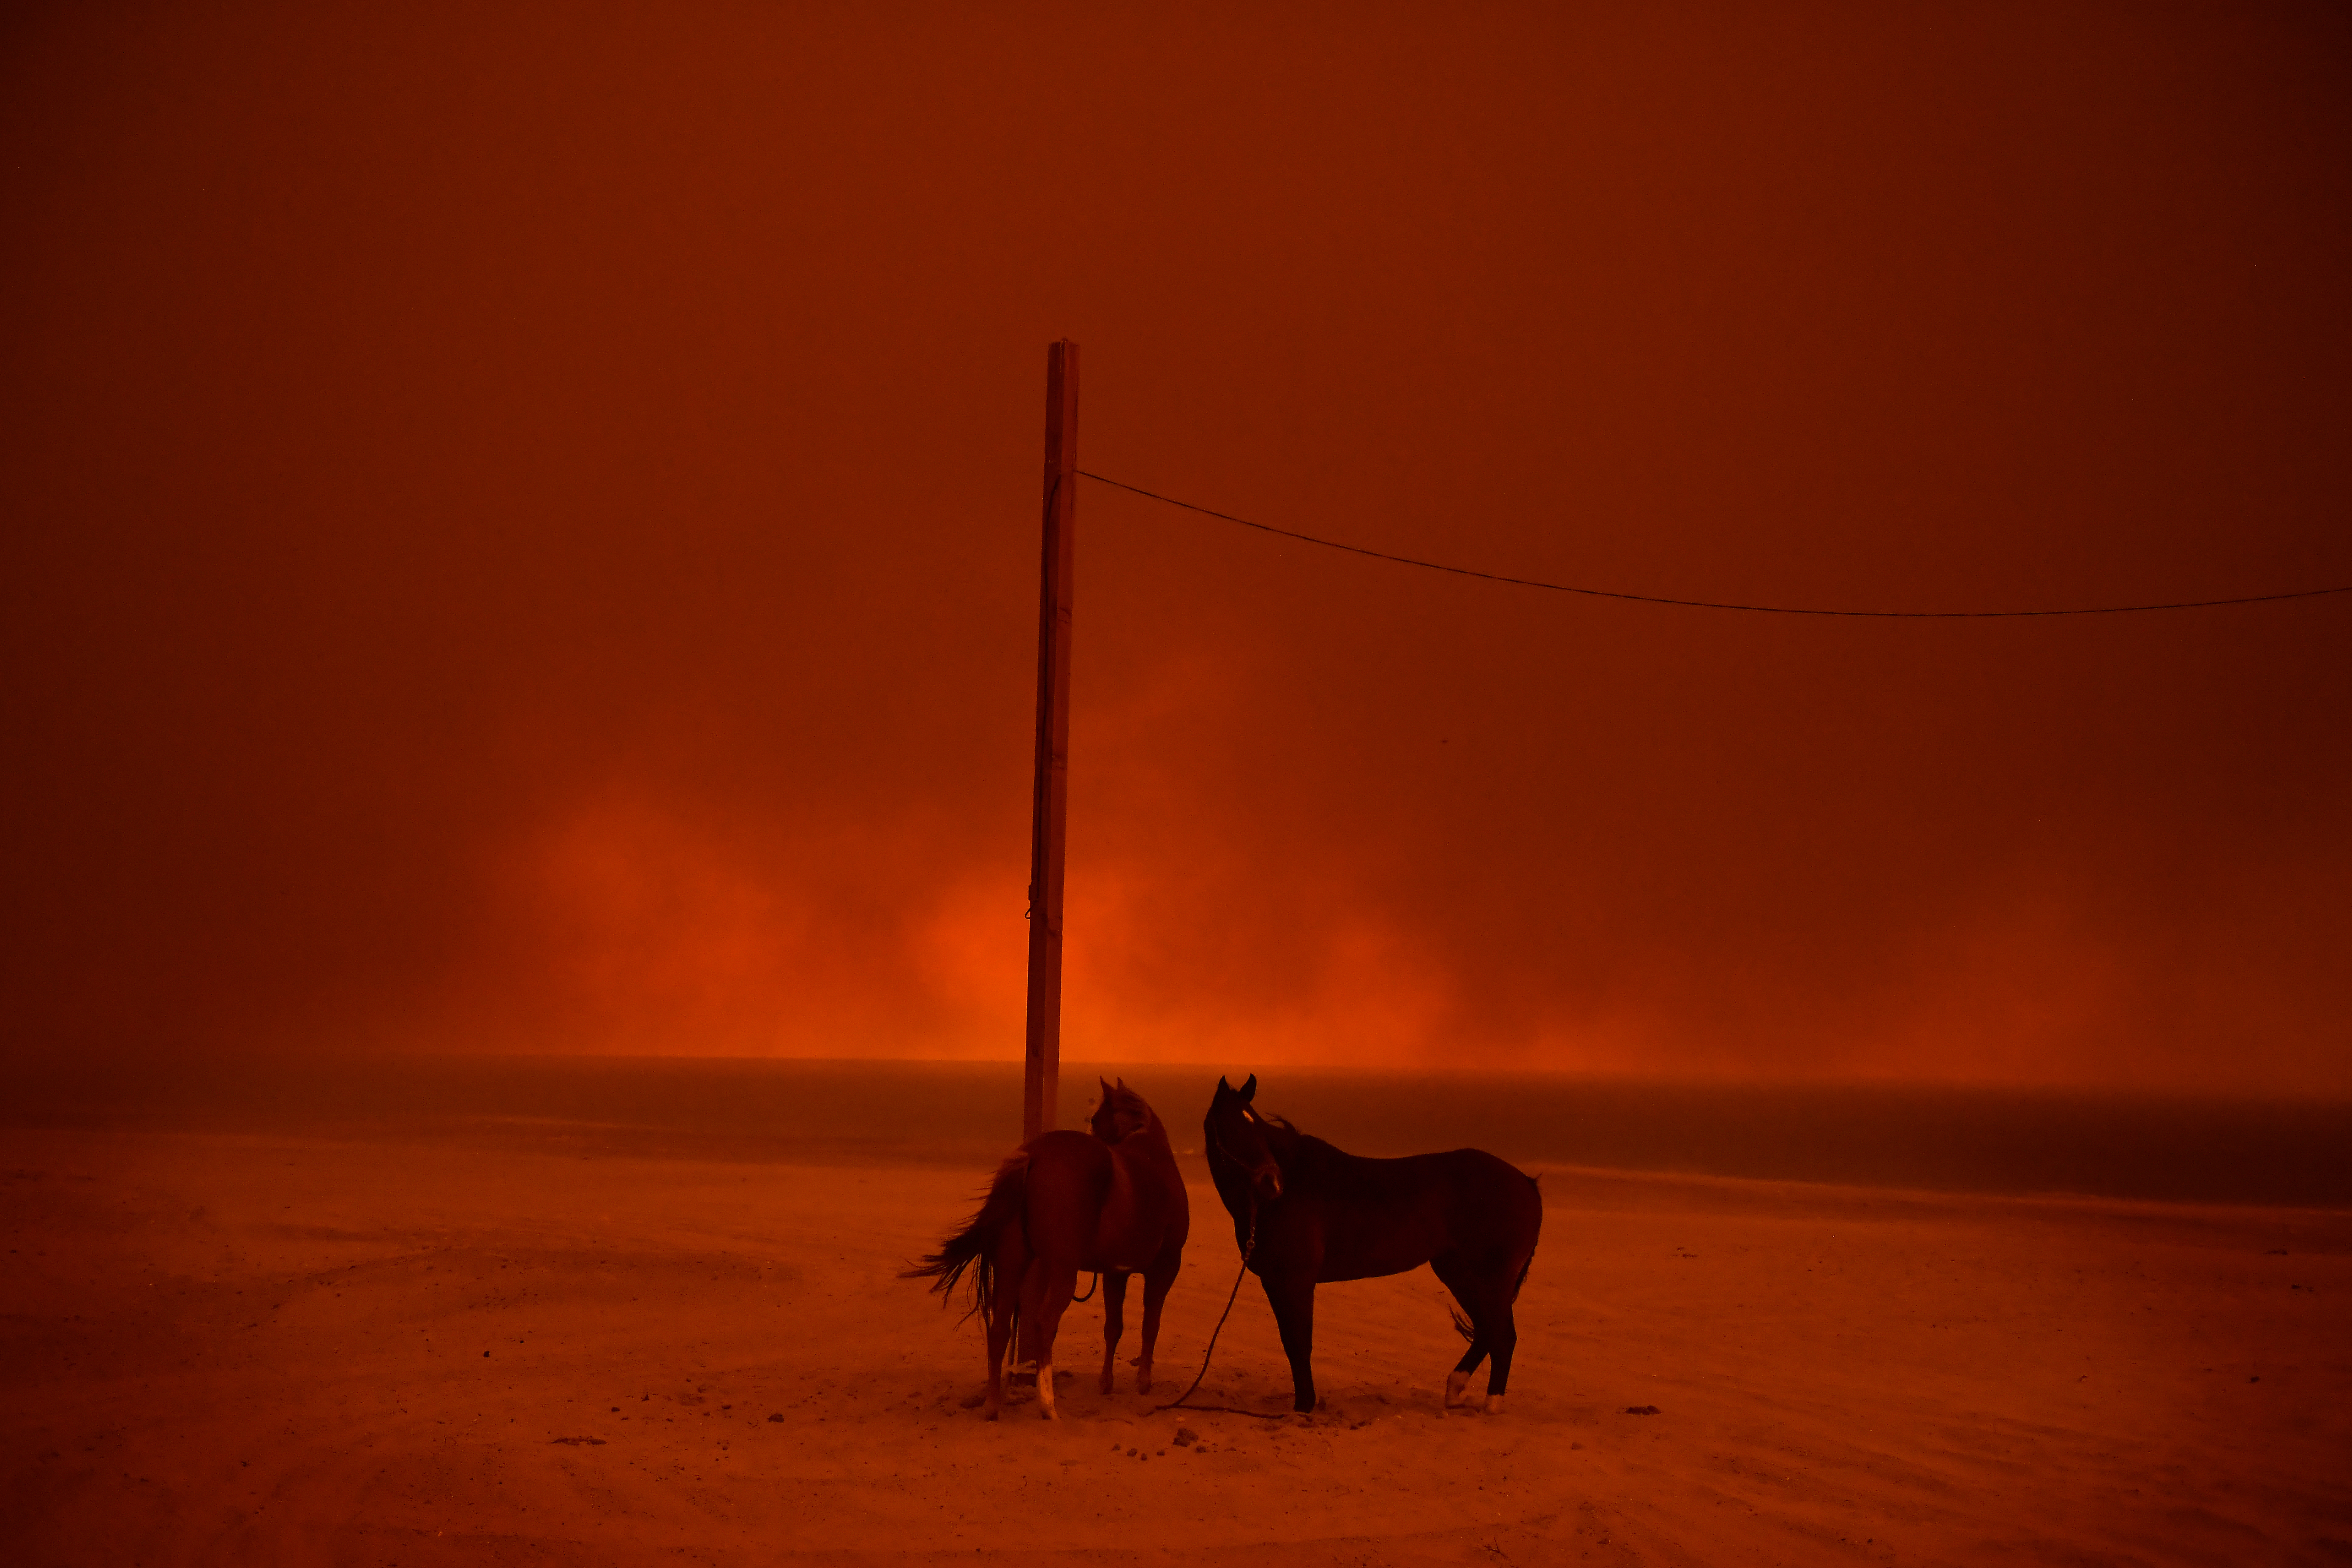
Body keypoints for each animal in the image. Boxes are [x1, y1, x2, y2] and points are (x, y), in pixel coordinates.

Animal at [903, 1081, 1185, 1420]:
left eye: (1096, 1119)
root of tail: (1034, 1155)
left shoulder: (1115, 1274)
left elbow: (1114, 1327)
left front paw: (1107, 1383)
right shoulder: (1164, 1268)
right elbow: (1149, 1326)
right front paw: (1143, 1382)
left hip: (1012, 1266)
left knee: (999, 1330)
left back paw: (993, 1405)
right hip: (1063, 1273)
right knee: (1044, 1324)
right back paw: (1048, 1404)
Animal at [1214, 1072, 1543, 1420]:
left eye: (1257, 1128)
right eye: (1232, 1128)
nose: (1272, 1182)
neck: (1282, 1195)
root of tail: (1527, 1183)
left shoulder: (1296, 1281)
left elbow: (1299, 1343)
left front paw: (1304, 1405)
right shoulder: (1274, 1282)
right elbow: (1291, 1342)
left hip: (1491, 1279)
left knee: (1502, 1336)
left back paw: (1491, 1403)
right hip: (1460, 1274)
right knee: (1487, 1330)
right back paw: (1455, 1391)